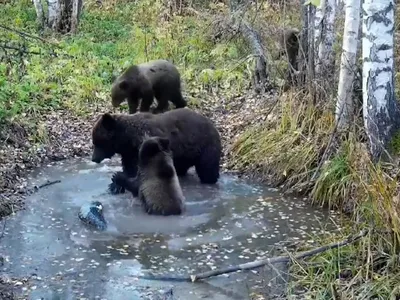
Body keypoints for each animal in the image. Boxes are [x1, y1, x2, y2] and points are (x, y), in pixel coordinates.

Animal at [90, 108, 222, 195]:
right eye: (95, 142)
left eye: (98, 142)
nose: (94, 158)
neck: (128, 140)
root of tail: (212, 125)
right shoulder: (129, 153)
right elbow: (130, 169)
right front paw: (115, 186)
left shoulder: (145, 147)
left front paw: (118, 180)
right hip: (184, 155)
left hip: (205, 147)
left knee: (207, 168)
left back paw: (210, 180)